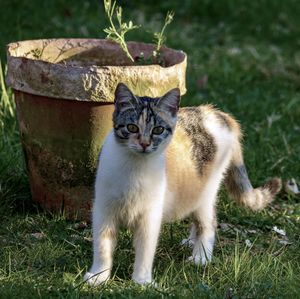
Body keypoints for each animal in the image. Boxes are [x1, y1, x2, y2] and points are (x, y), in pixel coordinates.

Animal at [84, 84, 282, 286]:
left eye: (158, 130)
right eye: (132, 127)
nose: (145, 144)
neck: (135, 168)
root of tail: (216, 113)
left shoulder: (150, 216)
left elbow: (145, 250)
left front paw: (142, 281)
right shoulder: (103, 211)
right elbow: (102, 246)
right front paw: (98, 277)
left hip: (207, 192)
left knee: (208, 223)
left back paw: (200, 258)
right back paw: (191, 242)